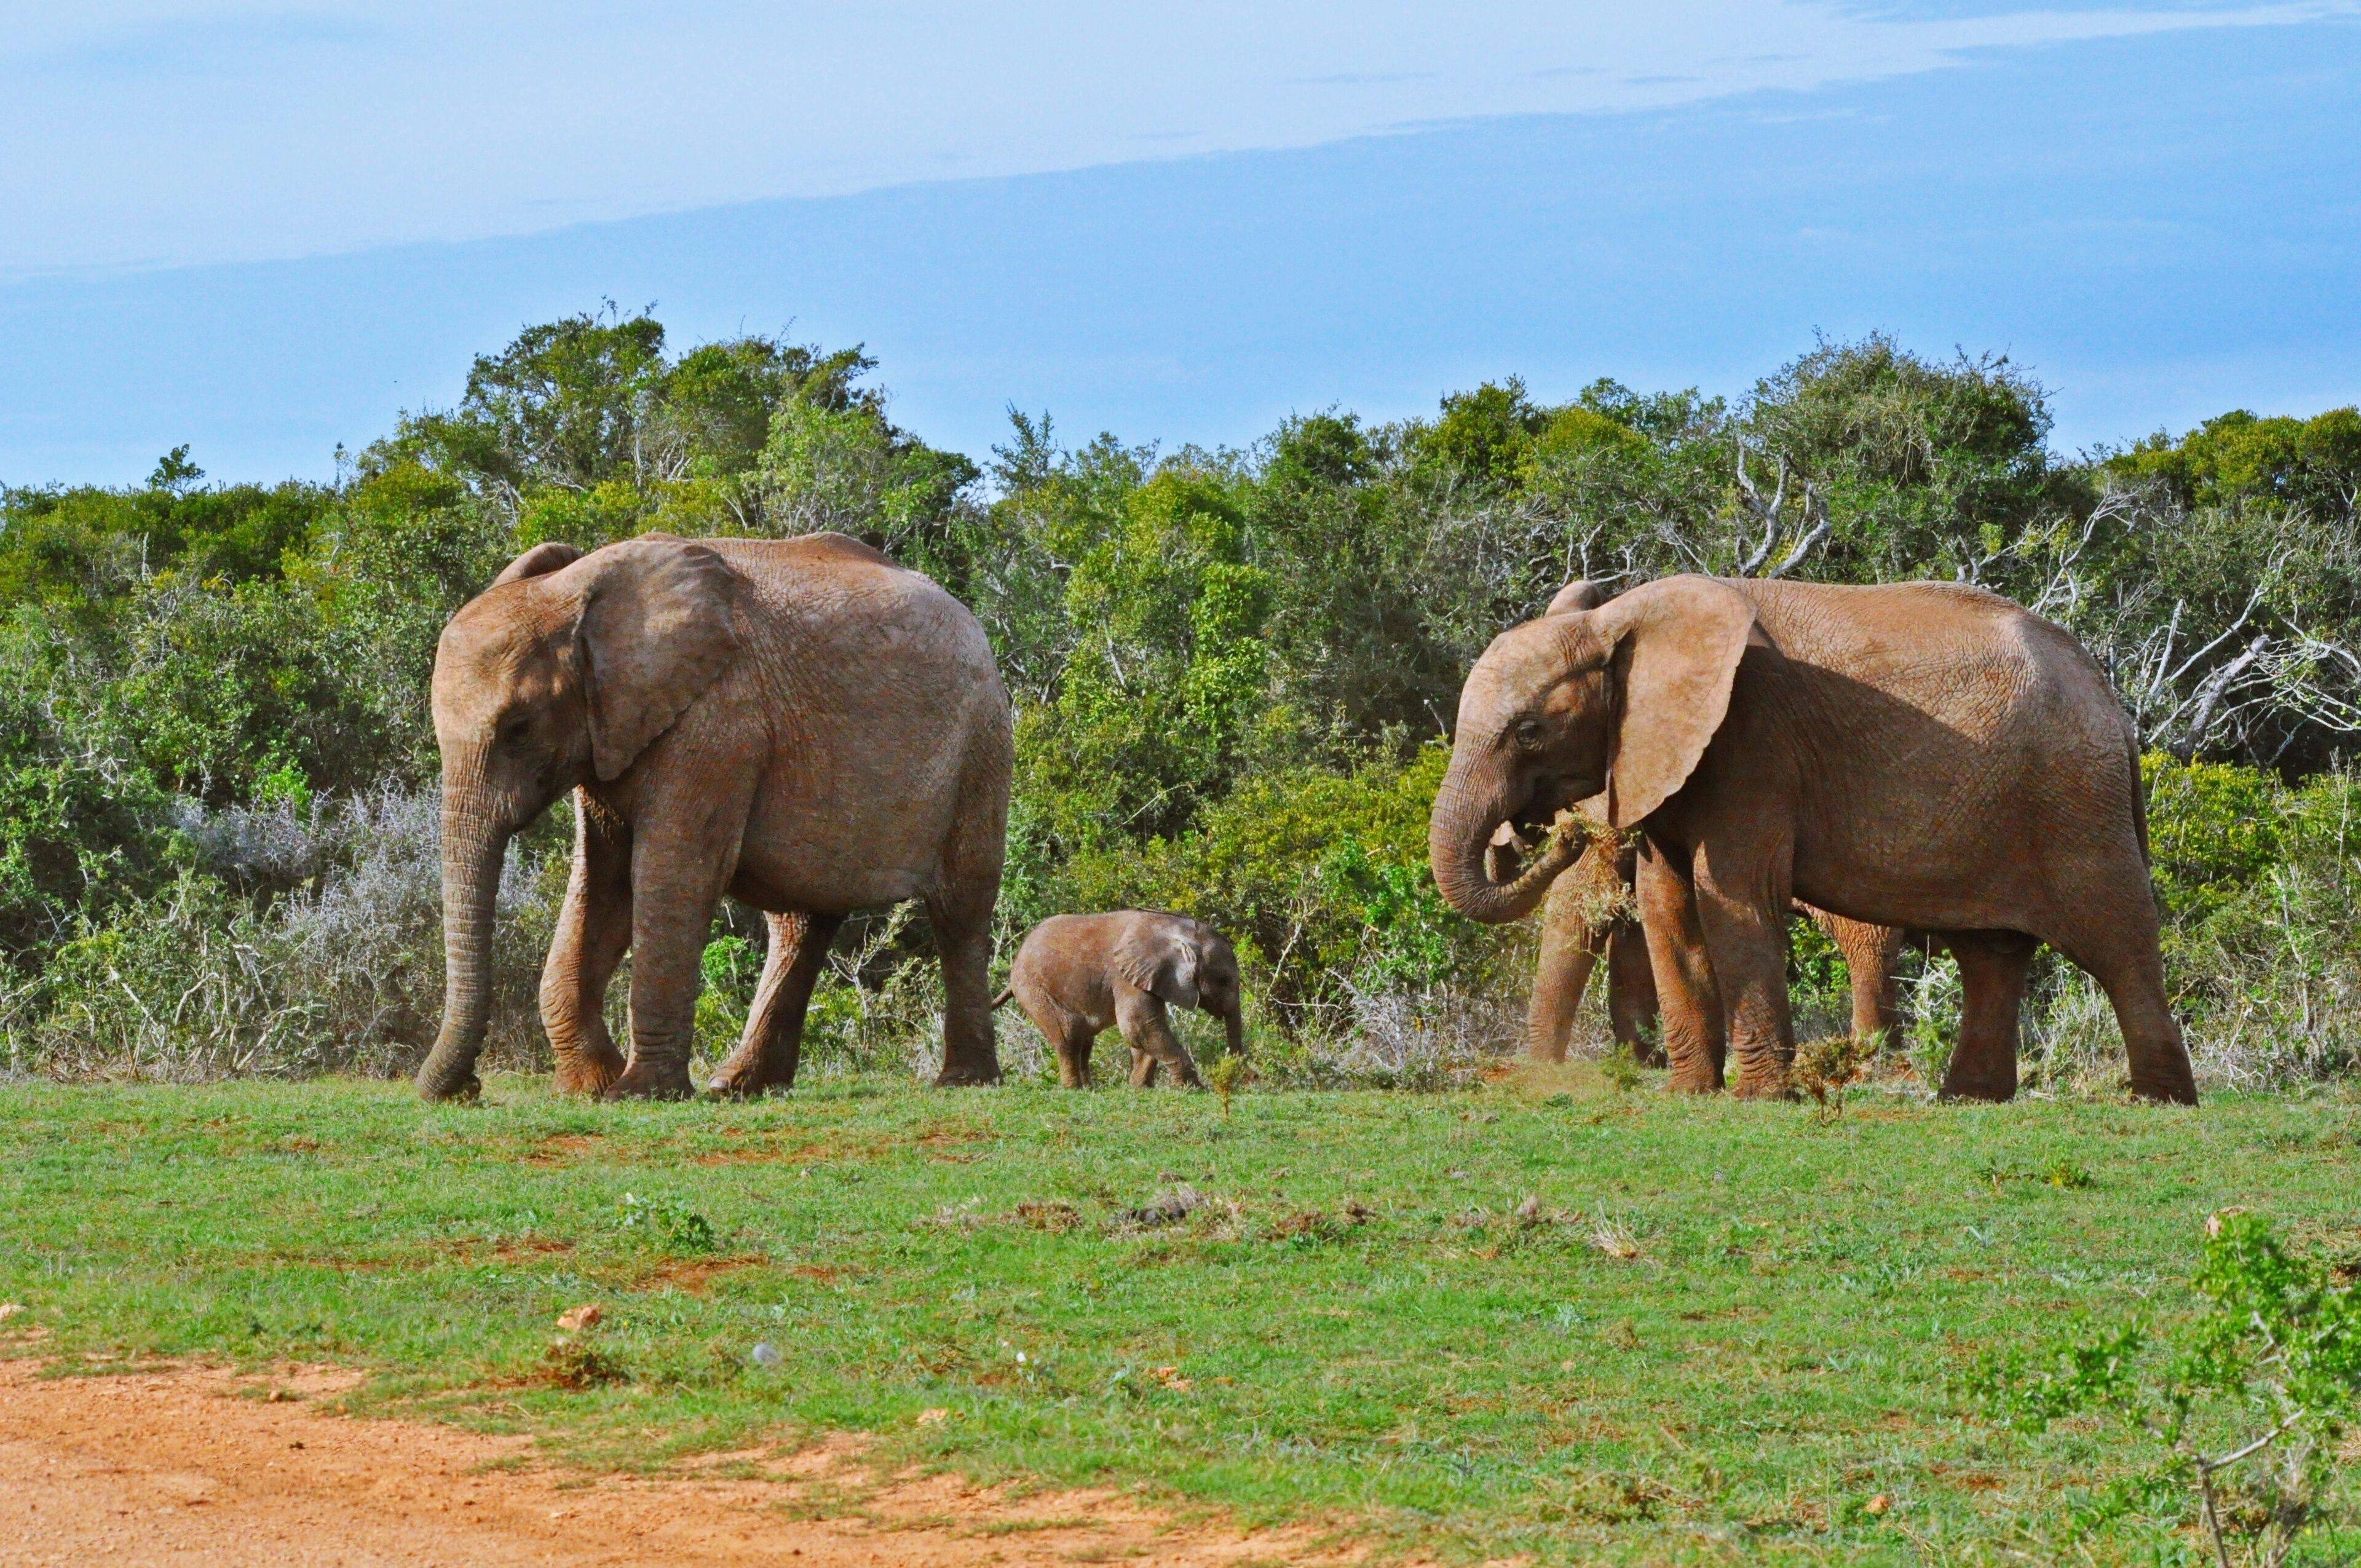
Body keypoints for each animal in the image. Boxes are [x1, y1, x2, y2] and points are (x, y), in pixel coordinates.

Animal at [414, 531, 1012, 1102]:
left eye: (519, 728)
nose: (467, 1090)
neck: (579, 595)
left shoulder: (719, 723)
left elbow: (669, 875)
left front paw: (635, 1094)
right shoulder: (612, 735)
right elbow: (603, 885)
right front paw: (589, 1085)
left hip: (982, 744)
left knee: (959, 909)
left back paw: (963, 1082)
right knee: (801, 921)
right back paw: (740, 1086)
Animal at [993, 911, 1243, 1088]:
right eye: (1223, 980)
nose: (1244, 1081)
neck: (1173, 926)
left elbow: (1143, 1029)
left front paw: (1139, 1088)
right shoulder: (1125, 975)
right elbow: (1138, 1025)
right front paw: (1194, 1088)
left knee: (1085, 1041)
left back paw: (1088, 1088)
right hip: (1034, 990)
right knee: (1068, 1037)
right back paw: (1074, 1089)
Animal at [1429, 573, 2196, 1104]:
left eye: (1529, 732)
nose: (1543, 832)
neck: (1624, 618)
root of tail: (2110, 698)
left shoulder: (1752, 744)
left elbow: (1733, 901)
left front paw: (1759, 1099)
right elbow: (1667, 908)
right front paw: (1688, 1095)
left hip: (2077, 802)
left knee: (2118, 942)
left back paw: (2158, 1102)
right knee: (1991, 955)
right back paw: (1968, 1099)